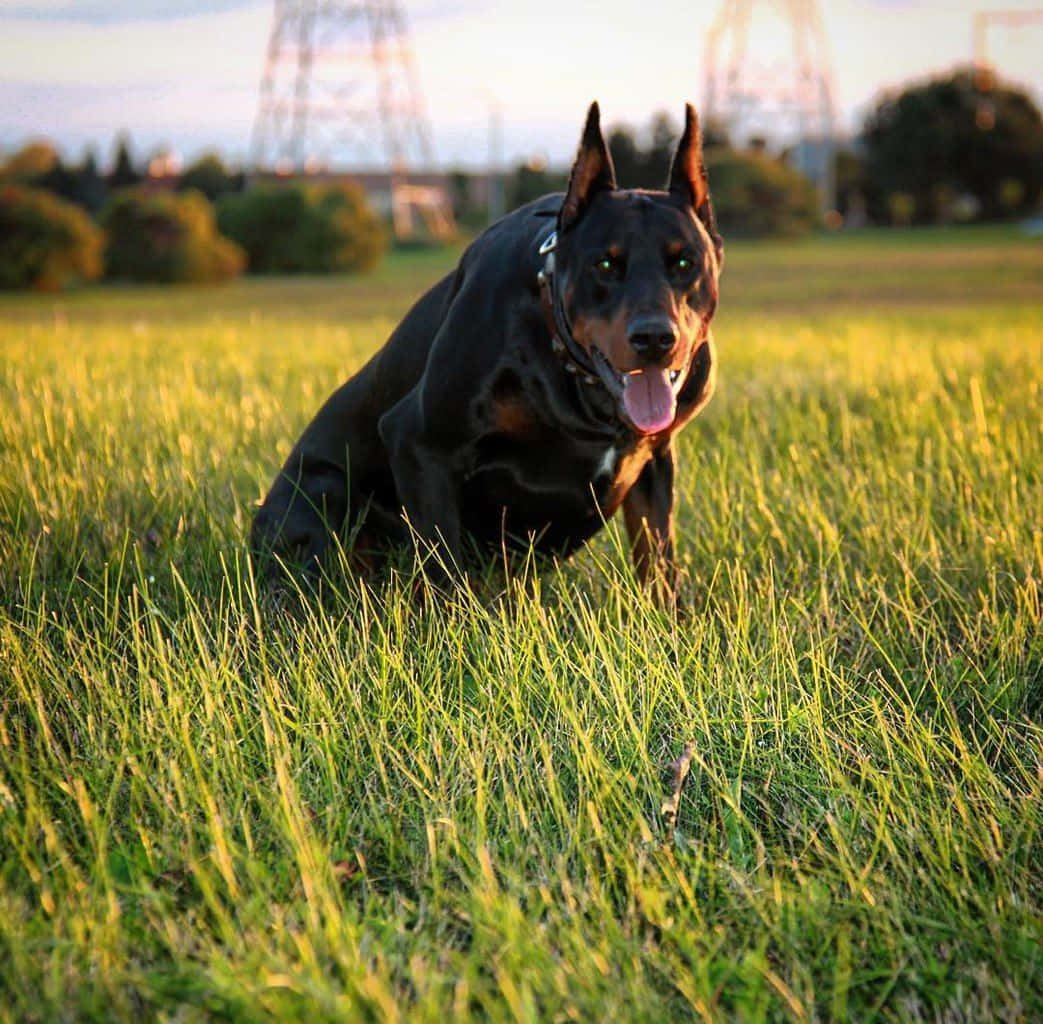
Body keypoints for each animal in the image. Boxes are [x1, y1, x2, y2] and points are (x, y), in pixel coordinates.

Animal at [253, 100, 725, 596]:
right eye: (605, 264)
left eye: (685, 262)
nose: (655, 339)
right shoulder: (420, 442)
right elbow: (443, 568)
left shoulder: (655, 462)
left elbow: (659, 565)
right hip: (322, 496)